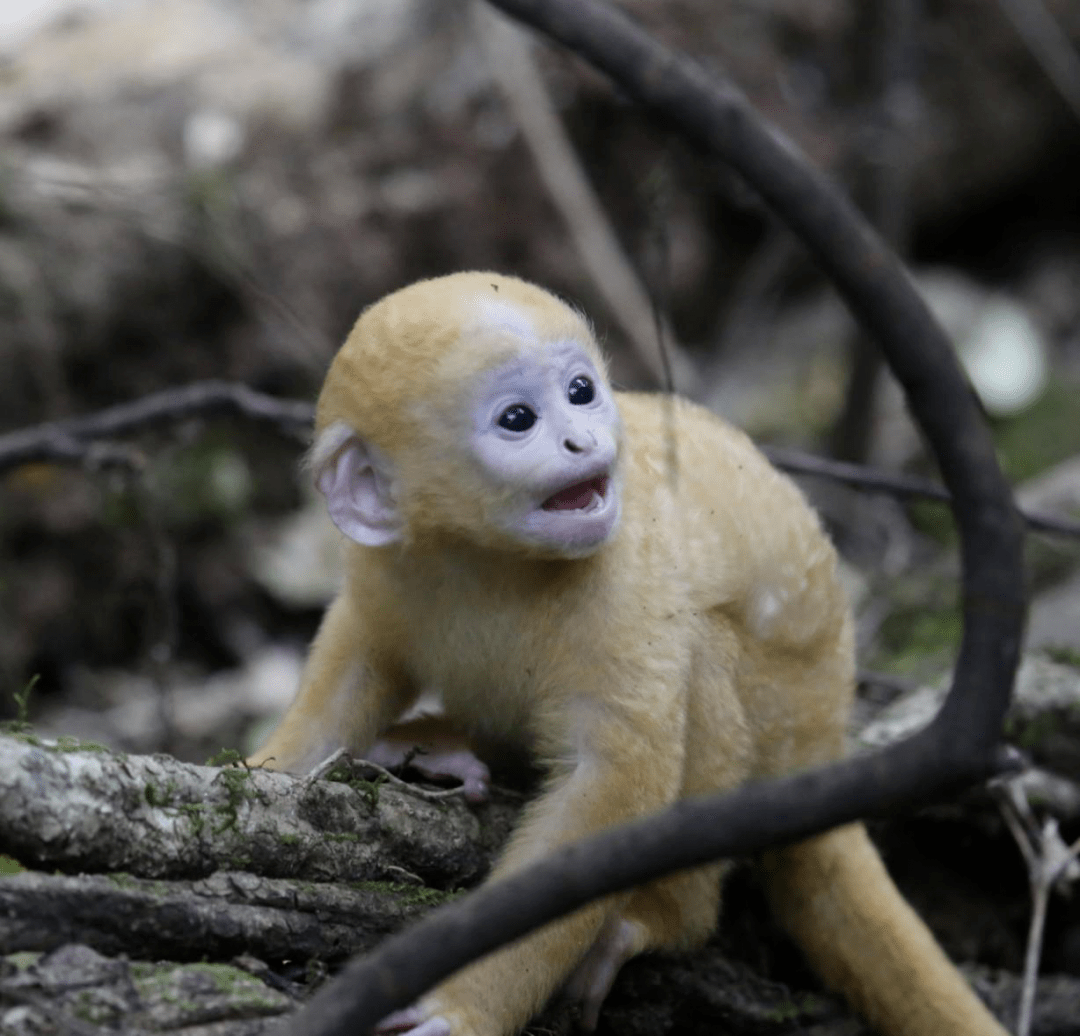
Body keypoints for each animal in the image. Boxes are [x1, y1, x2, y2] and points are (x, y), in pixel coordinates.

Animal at [250, 273, 1002, 1036]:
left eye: (581, 391)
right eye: (518, 418)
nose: (582, 439)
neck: (486, 563)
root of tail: (827, 739)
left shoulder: (618, 583)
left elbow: (612, 783)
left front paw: (462, 1008)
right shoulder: (387, 568)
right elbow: (354, 668)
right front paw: (264, 770)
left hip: (785, 715)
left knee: (703, 661)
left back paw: (661, 919)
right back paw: (437, 750)